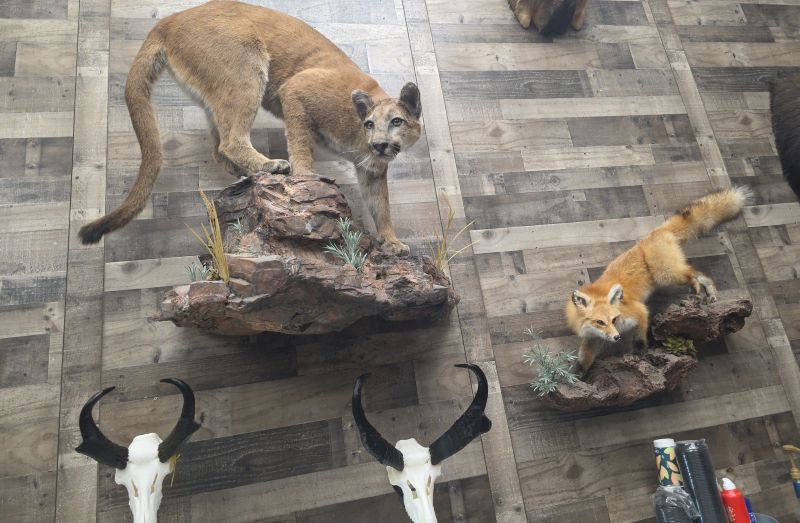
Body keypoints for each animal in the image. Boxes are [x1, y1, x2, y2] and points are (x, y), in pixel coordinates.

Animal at [79, 0, 422, 256]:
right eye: (370, 124)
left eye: (396, 121)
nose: (379, 144)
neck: (358, 136)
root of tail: (169, 19)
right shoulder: (295, 90)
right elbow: (301, 143)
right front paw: (306, 179)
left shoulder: (373, 169)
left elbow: (381, 205)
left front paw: (391, 241)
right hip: (246, 65)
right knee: (230, 140)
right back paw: (271, 166)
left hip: (218, 95)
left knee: (218, 144)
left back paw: (247, 174)